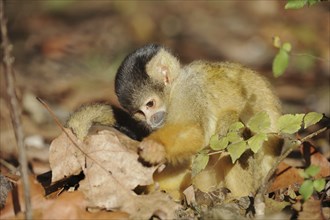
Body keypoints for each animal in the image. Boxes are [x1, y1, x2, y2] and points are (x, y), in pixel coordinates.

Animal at [67, 43, 284, 200]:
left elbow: (195, 130)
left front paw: (156, 146)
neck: (174, 89)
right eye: (140, 113)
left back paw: (239, 196)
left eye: (151, 104)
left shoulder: (189, 91)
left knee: (228, 121)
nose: (152, 120)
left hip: (256, 175)